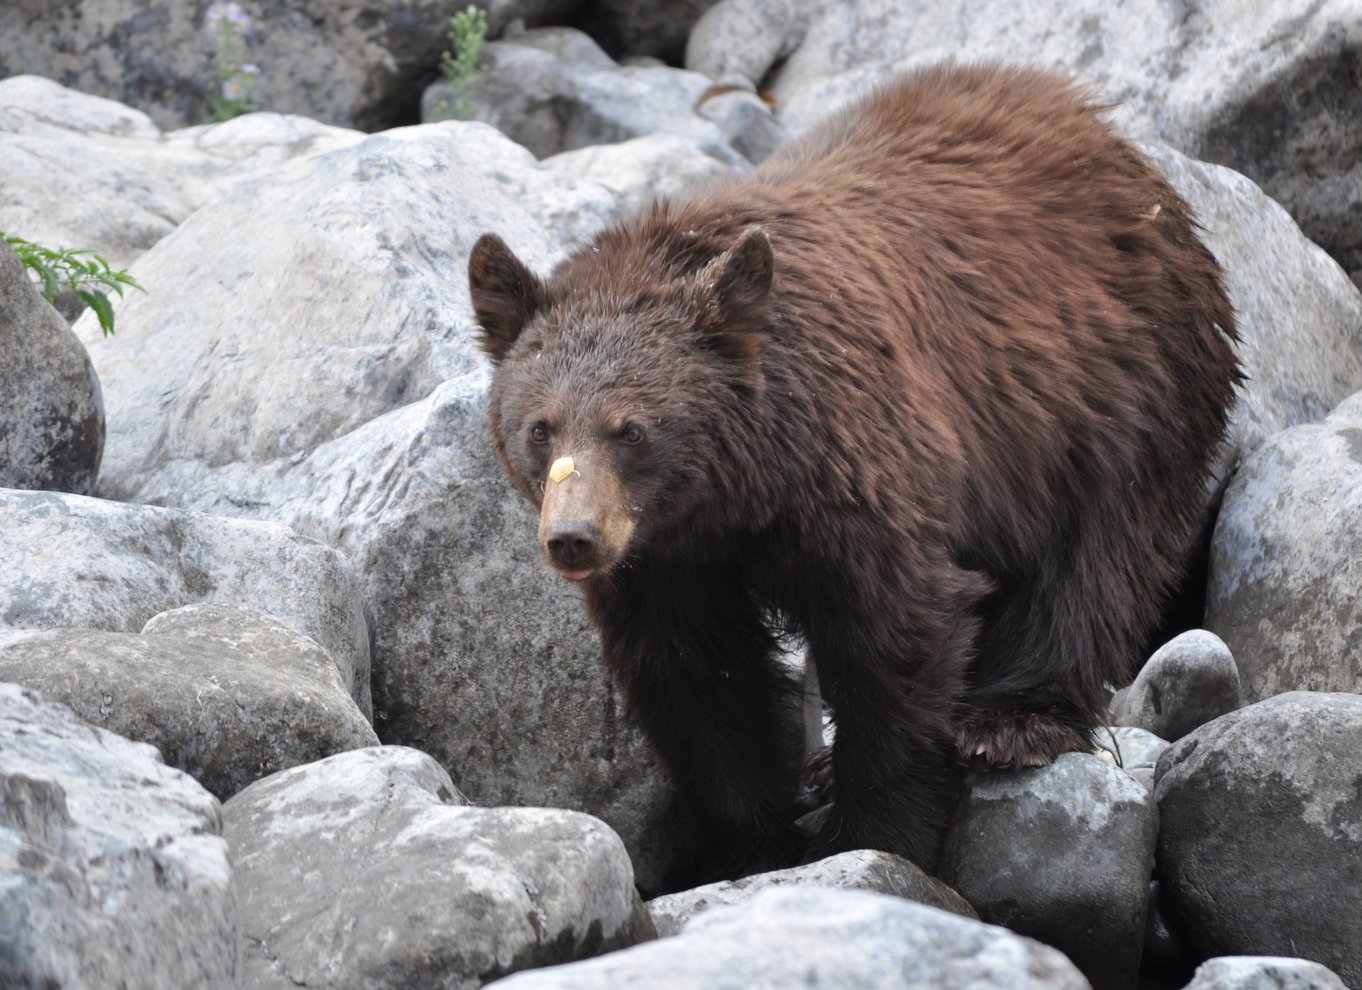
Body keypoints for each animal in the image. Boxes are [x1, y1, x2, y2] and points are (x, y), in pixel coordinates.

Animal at [463, 61, 1242, 882]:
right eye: (539, 428)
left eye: (633, 428)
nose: (574, 537)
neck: (734, 494)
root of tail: (1112, 138)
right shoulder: (667, 560)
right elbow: (698, 675)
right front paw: (753, 842)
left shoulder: (853, 465)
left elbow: (896, 632)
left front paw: (872, 834)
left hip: (1116, 390)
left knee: (1093, 559)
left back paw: (1013, 721)